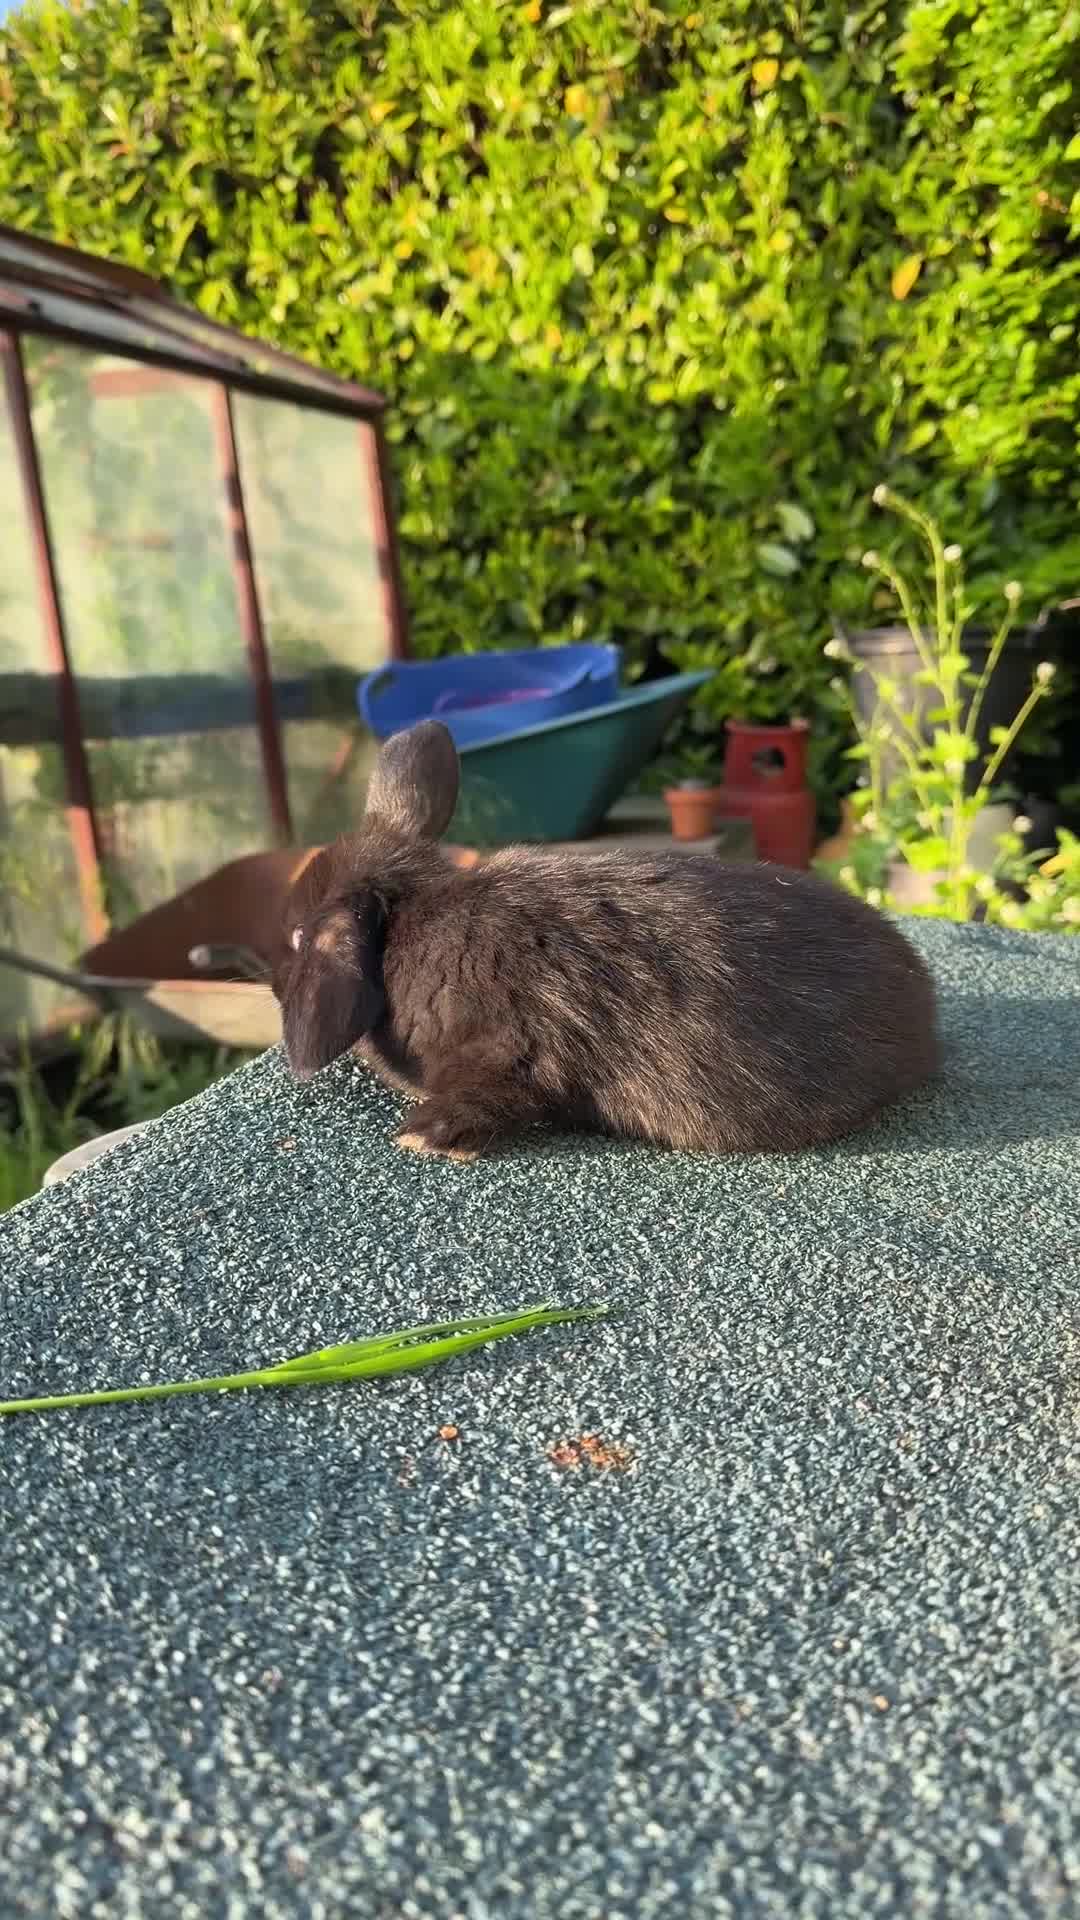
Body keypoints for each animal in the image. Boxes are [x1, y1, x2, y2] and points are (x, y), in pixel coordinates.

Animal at [271, 720, 940, 1162]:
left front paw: (425, 1136)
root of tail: (921, 997)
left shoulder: (510, 1053)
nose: (274, 980)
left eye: (301, 935)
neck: (409, 928)